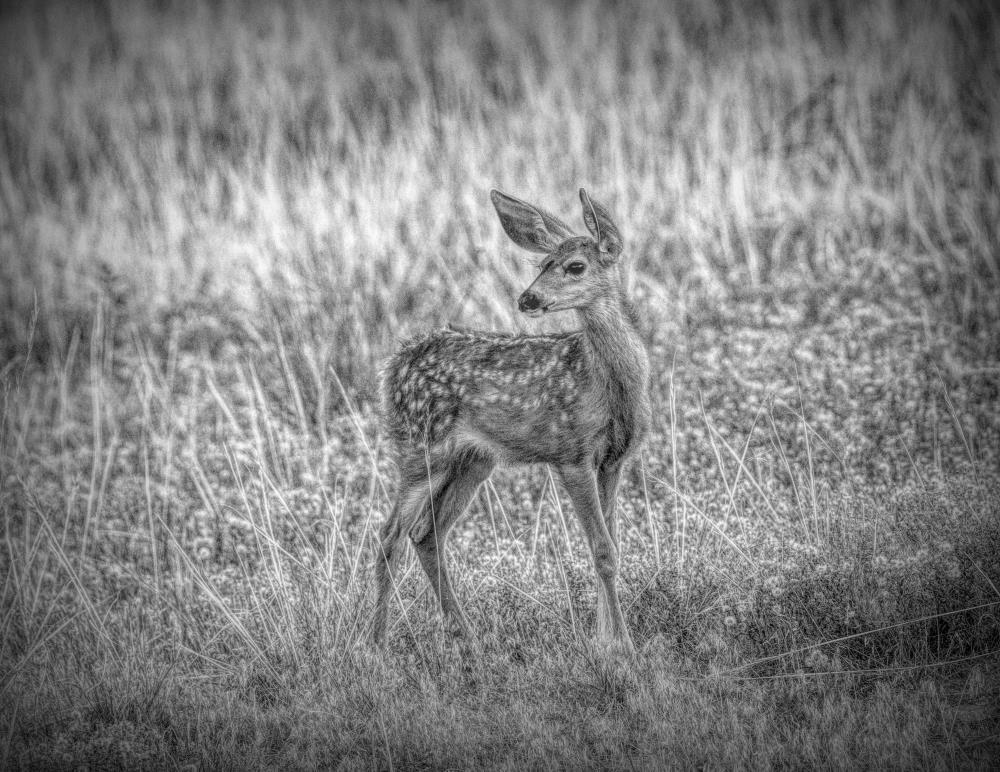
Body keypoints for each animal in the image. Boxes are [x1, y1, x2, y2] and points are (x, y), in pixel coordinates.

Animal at [373, 188, 650, 652]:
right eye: (541, 265)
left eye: (576, 266)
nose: (528, 299)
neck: (608, 384)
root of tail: (393, 366)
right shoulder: (571, 453)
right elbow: (602, 551)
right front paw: (622, 646)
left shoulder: (614, 459)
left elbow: (611, 546)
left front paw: (606, 637)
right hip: (421, 448)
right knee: (391, 535)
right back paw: (374, 641)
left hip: (472, 461)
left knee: (426, 533)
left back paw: (468, 633)